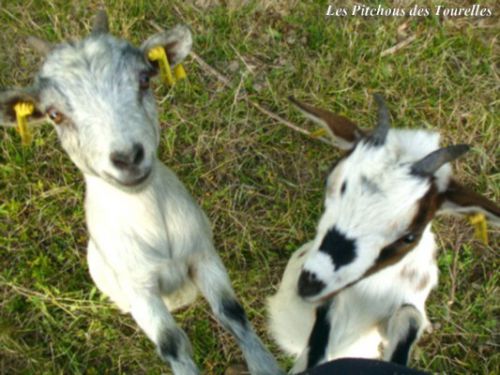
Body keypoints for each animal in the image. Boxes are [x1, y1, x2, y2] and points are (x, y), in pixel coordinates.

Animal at [0, 11, 282, 375]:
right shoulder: (140, 290)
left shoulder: (203, 255)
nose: (127, 157)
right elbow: (172, 344)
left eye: (145, 79)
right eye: (55, 114)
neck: (155, 228)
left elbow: (233, 312)